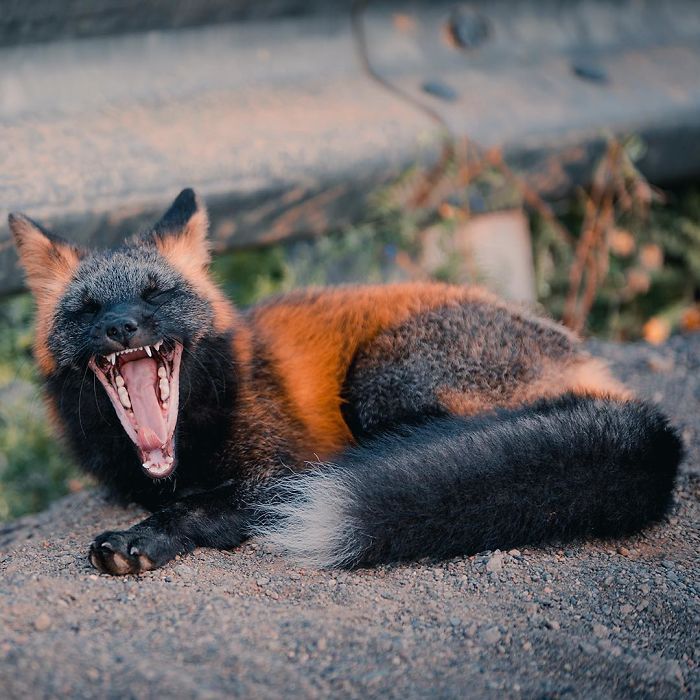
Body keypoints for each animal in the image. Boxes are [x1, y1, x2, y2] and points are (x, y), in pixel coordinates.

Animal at [8, 187, 680, 576]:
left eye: (156, 295)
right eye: (87, 309)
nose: (121, 327)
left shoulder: (279, 472)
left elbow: (199, 507)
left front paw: (144, 537)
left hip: (381, 381)